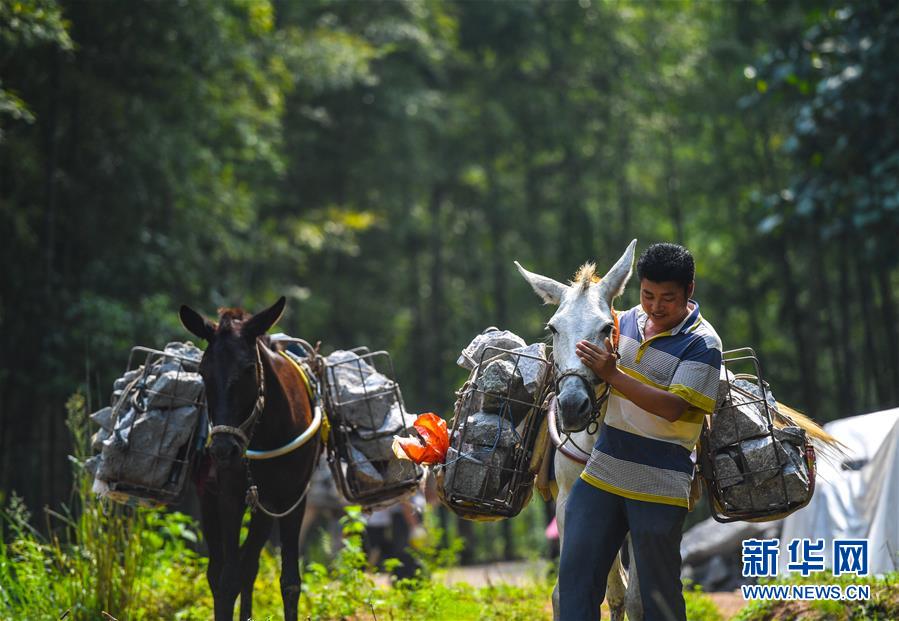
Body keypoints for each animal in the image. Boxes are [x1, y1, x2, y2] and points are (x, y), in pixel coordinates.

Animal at [180, 298, 324, 616]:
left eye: (248, 368)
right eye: (203, 371)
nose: (222, 450)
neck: (266, 430)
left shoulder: (293, 499)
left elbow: (290, 582)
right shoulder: (229, 496)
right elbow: (227, 580)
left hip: (266, 505)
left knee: (250, 564)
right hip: (209, 496)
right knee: (219, 570)